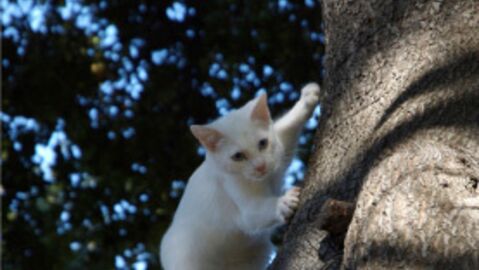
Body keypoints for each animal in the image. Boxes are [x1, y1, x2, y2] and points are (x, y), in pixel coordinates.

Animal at [159, 83, 320, 270]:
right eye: (238, 156)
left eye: (263, 143)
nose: (260, 166)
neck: (264, 180)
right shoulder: (245, 210)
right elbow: (259, 210)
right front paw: (284, 202)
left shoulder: (278, 155)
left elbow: (285, 126)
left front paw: (308, 98)